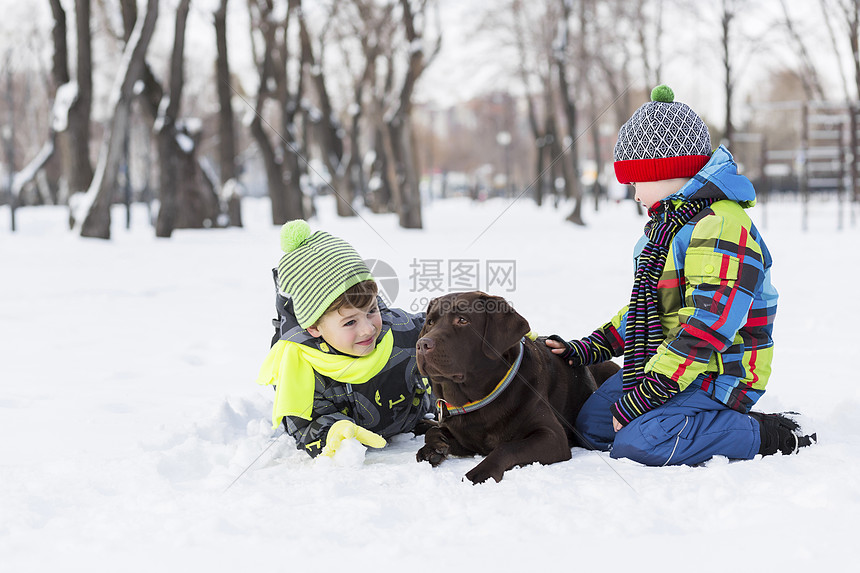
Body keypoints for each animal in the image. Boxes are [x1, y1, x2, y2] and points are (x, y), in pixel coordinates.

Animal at [414, 290, 620, 482]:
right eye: (430, 322)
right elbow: (433, 430)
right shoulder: (466, 438)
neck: (480, 398)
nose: (422, 344)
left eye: (462, 320)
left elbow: (506, 447)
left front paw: (479, 473)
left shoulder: (552, 436)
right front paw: (433, 449)